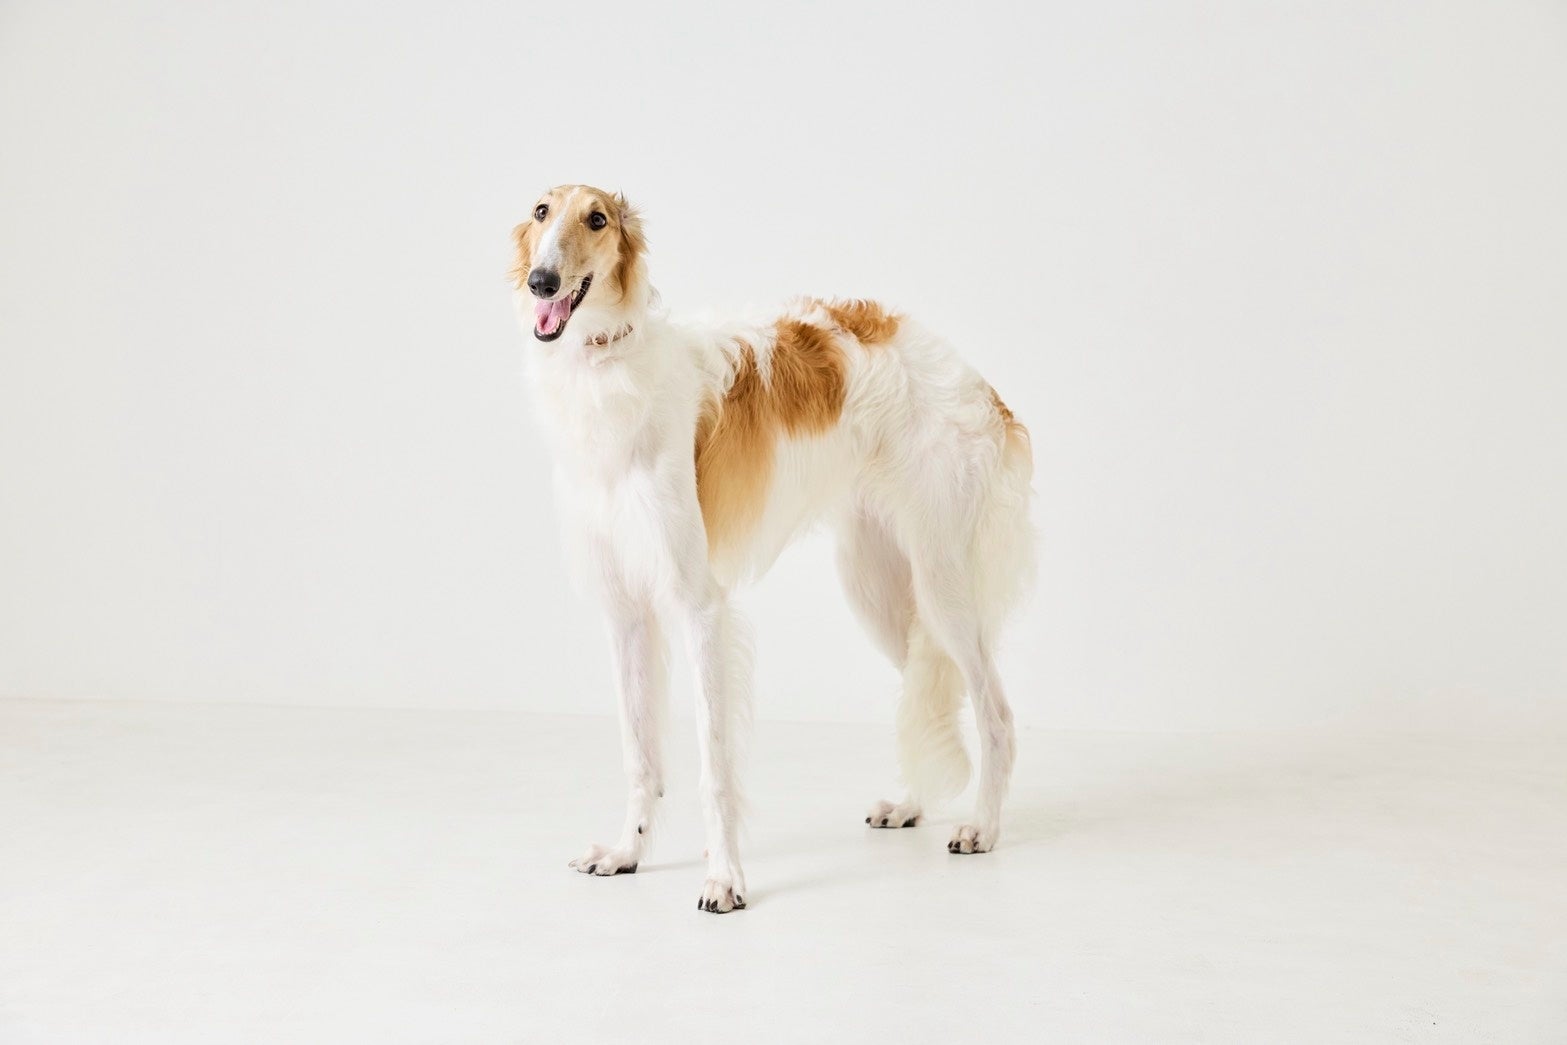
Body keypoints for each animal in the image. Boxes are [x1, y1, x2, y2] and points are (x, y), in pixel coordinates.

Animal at [511, 185, 1034, 913]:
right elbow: (639, 755)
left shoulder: (698, 604)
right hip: (879, 588)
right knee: (933, 685)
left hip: (942, 581)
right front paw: (625, 853)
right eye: (540, 212)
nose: (542, 281)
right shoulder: (625, 612)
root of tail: (979, 385)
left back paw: (982, 825)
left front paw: (724, 878)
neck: (607, 367)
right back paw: (910, 804)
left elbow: (714, 760)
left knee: (996, 713)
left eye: (597, 219)